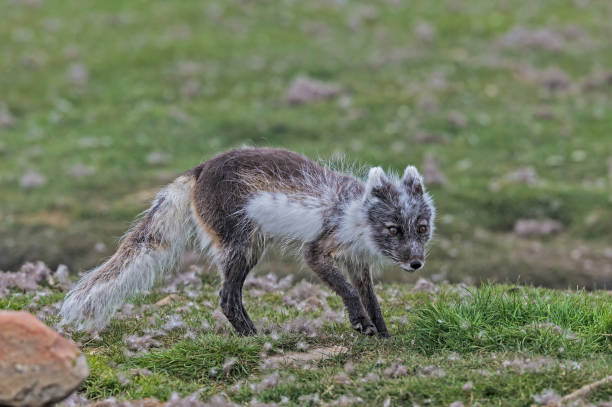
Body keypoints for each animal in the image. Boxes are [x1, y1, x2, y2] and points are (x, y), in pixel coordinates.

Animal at [59, 147, 436, 338]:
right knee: (227, 299)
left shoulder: (358, 263)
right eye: (393, 229)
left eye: (420, 228)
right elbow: (346, 290)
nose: (416, 263)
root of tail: (199, 169)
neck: (355, 215)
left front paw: (384, 335)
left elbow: (371, 299)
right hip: (245, 244)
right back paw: (253, 336)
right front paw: (360, 323)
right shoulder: (316, 250)